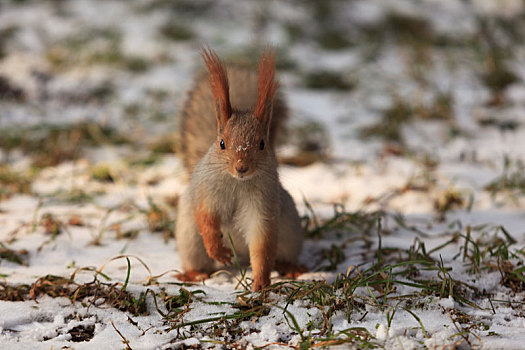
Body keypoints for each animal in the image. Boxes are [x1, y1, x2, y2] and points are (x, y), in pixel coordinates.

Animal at [174, 47, 302, 292]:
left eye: (262, 144)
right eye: (222, 143)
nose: (241, 167)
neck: (237, 183)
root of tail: (240, 258)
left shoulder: (264, 205)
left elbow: (262, 246)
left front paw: (261, 282)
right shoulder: (204, 192)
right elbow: (205, 218)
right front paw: (218, 250)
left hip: (290, 232)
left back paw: (291, 267)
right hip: (189, 237)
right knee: (197, 256)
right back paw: (194, 274)